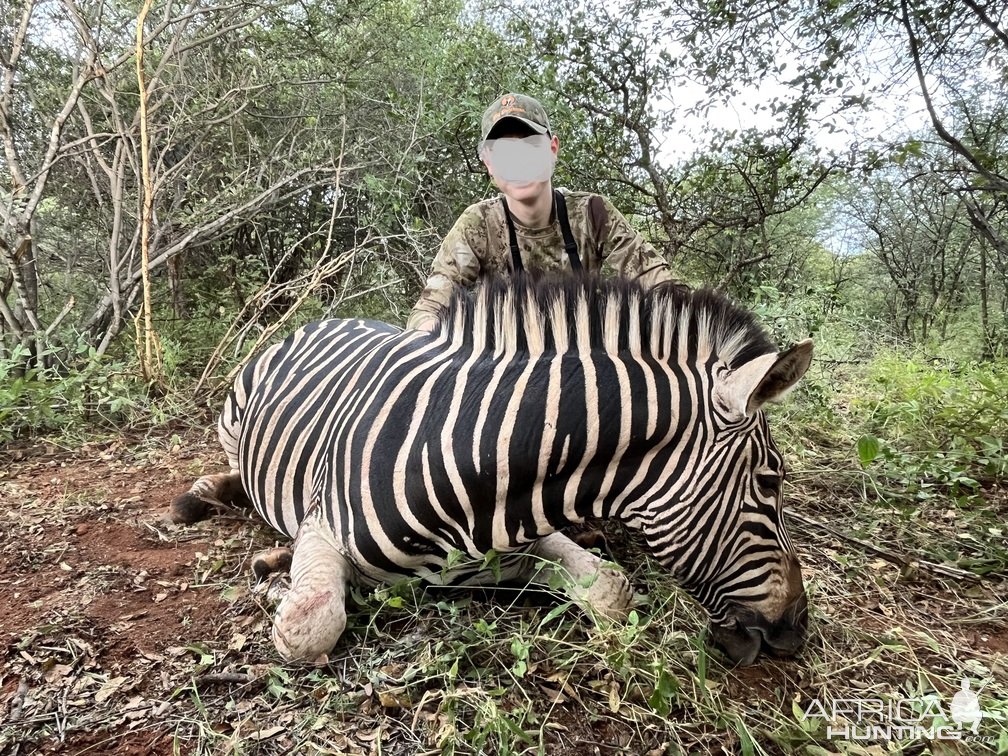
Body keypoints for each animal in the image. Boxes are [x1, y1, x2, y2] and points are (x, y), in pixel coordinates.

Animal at [171, 276, 810, 665]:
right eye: (770, 482)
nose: (797, 630)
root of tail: (335, 318)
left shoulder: (519, 539)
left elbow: (610, 589)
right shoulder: (324, 526)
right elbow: (307, 625)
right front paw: (278, 581)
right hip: (234, 415)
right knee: (233, 469)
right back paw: (204, 499)